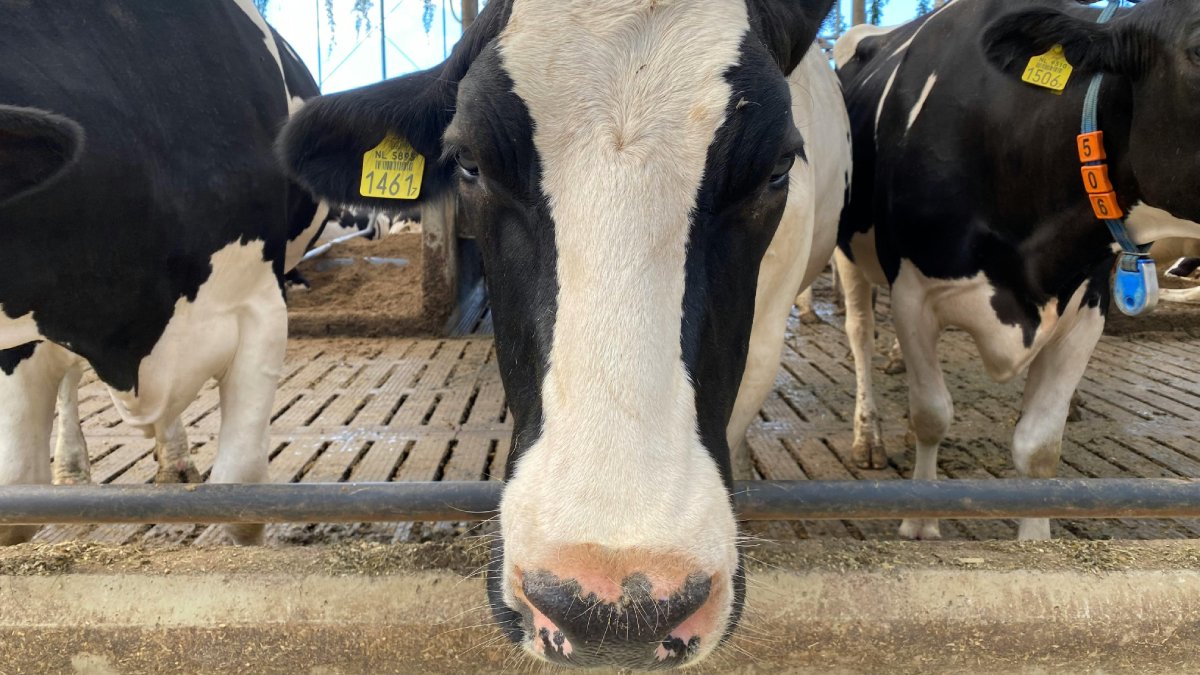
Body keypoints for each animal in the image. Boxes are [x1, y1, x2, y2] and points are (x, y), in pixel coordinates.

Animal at [835, 0, 1200, 541]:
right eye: (1198, 49)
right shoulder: (913, 294)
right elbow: (931, 414)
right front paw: (920, 520)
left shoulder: (1087, 307)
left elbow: (1040, 444)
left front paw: (1035, 540)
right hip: (847, 254)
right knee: (860, 333)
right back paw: (869, 436)